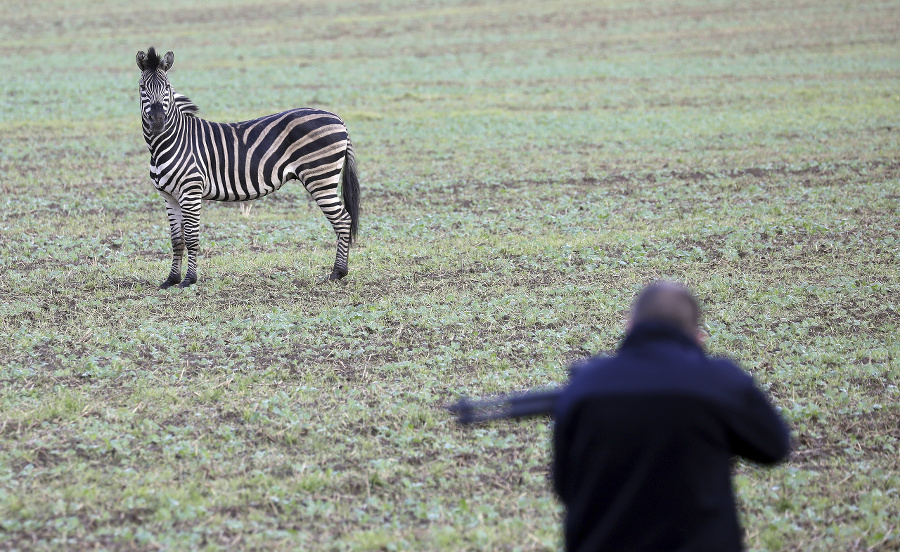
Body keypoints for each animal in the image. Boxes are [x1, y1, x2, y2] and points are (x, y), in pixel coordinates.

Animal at [134, 47, 358, 288]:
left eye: (167, 87)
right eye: (142, 87)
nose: (158, 121)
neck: (170, 141)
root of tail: (338, 118)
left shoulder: (190, 191)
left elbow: (192, 237)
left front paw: (189, 280)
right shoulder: (169, 196)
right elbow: (177, 240)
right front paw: (171, 279)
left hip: (321, 177)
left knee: (343, 220)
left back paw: (338, 272)